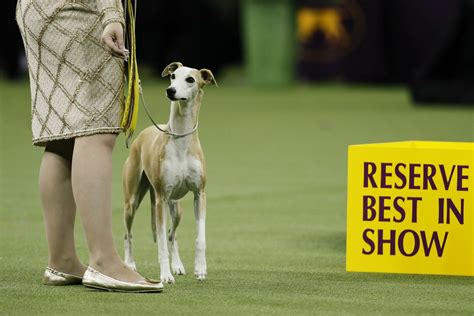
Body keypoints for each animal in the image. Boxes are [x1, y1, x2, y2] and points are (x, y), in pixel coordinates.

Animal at [123, 61, 218, 282]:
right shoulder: (160, 198)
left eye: (190, 79)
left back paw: (178, 265)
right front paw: (165, 276)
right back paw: (129, 264)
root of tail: (144, 133)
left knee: (170, 234)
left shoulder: (199, 194)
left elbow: (200, 238)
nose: (170, 90)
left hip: (176, 207)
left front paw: (200, 269)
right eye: (173, 76)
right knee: (128, 234)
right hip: (133, 200)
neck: (181, 139)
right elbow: (161, 246)